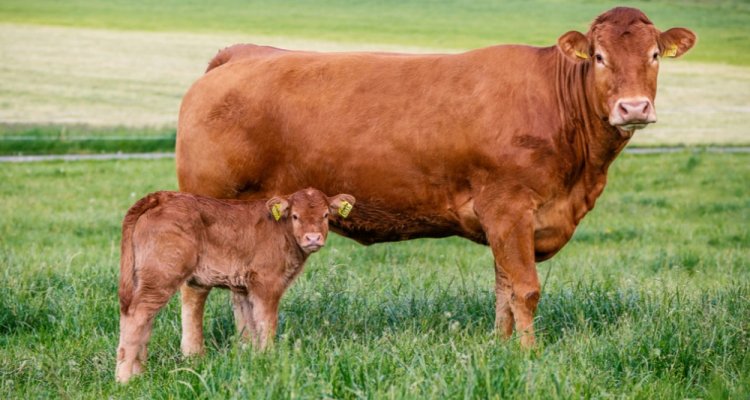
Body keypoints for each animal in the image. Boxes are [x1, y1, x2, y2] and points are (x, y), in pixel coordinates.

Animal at [115, 188, 355, 383]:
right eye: (295, 216)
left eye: (325, 215)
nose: (313, 238)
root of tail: (160, 196)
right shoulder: (267, 283)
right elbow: (267, 324)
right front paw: (269, 360)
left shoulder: (246, 288)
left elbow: (250, 326)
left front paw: (256, 360)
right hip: (162, 274)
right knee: (137, 315)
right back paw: (125, 379)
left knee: (143, 319)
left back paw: (139, 372)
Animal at [175, 7, 696, 348]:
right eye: (600, 57)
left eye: (654, 54)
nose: (633, 108)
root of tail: (240, 54)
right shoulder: (508, 207)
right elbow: (525, 288)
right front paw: (530, 356)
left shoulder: (508, 221)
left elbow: (504, 290)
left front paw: (500, 349)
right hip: (206, 203)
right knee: (194, 287)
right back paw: (195, 354)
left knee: (238, 288)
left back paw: (249, 348)